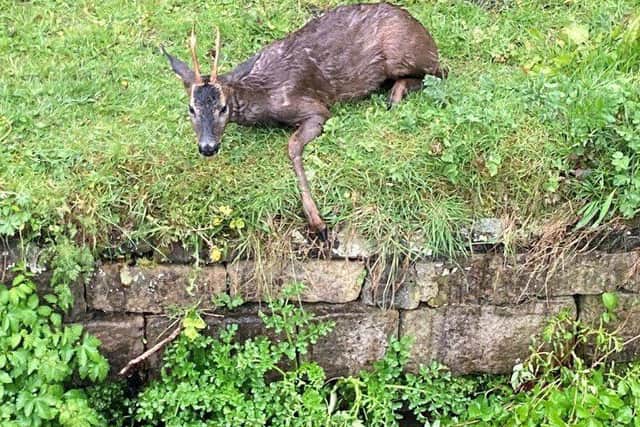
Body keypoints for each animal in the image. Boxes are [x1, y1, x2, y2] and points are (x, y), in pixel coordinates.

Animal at [161, 2, 447, 240]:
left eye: (222, 107)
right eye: (191, 108)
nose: (208, 146)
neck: (262, 97)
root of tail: (422, 30)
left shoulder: (315, 108)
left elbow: (293, 146)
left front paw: (317, 222)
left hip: (403, 55)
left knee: (440, 73)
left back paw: (395, 96)